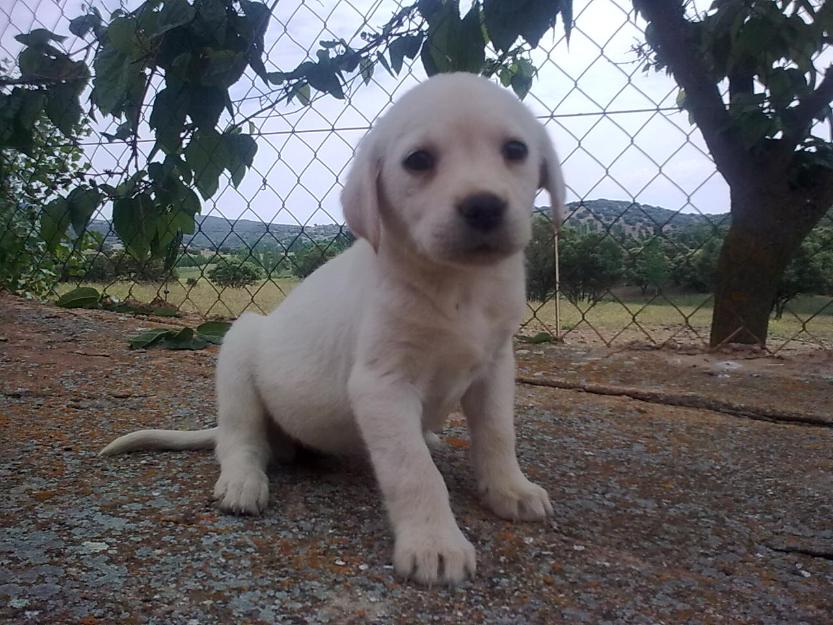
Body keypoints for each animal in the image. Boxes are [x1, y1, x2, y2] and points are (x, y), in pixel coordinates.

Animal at [99, 72, 564, 584]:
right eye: (418, 160)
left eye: (516, 150)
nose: (483, 206)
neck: (461, 285)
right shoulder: (381, 384)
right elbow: (414, 471)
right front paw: (434, 543)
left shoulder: (495, 366)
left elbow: (498, 434)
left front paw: (510, 490)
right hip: (239, 353)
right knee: (240, 441)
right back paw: (242, 482)